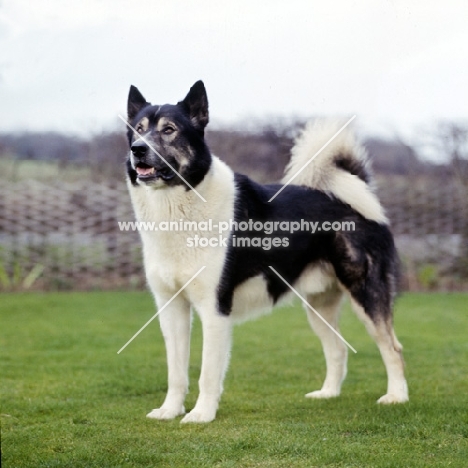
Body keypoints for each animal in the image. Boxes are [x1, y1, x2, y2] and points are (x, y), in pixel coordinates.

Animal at [126, 80, 408, 424]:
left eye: (169, 130)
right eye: (137, 130)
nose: (138, 149)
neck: (179, 206)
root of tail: (356, 194)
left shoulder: (214, 309)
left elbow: (207, 372)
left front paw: (201, 414)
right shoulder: (171, 308)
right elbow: (176, 371)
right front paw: (170, 410)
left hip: (366, 292)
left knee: (392, 348)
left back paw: (396, 397)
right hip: (318, 306)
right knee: (338, 348)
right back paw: (327, 394)